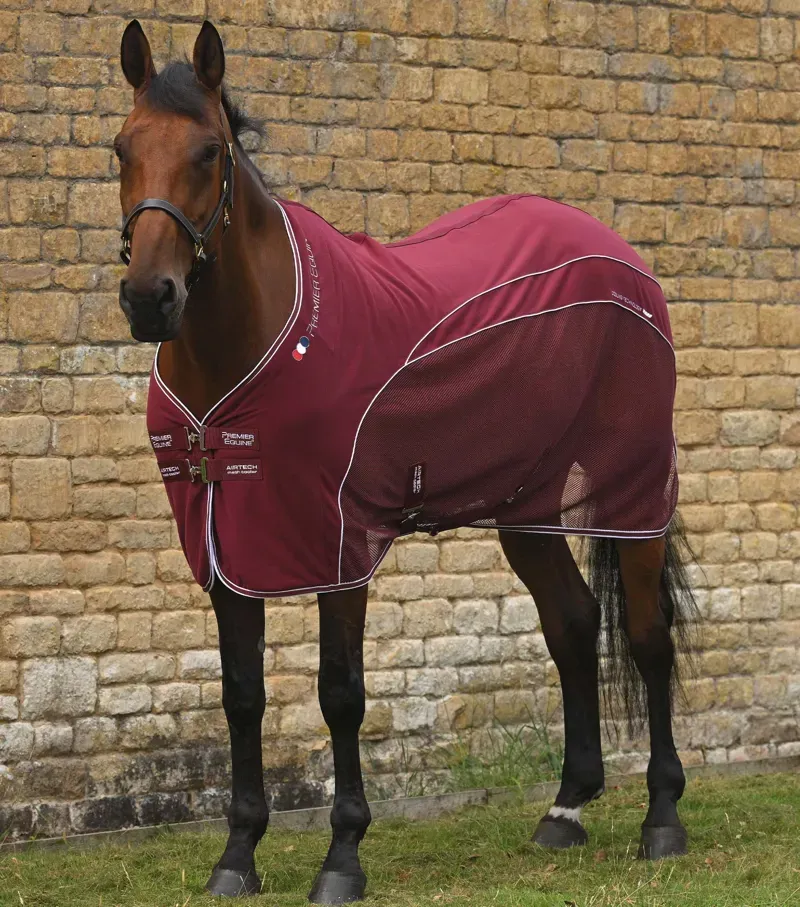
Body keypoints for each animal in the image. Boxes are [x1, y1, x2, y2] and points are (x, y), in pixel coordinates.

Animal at [116, 19, 697, 903]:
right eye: (120, 149)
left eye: (209, 151)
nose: (151, 299)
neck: (253, 345)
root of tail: (621, 258)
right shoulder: (225, 545)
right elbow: (241, 693)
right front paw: (237, 854)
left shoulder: (337, 542)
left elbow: (340, 692)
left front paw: (342, 856)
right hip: (525, 507)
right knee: (568, 625)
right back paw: (565, 808)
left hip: (632, 500)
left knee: (645, 634)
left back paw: (662, 819)